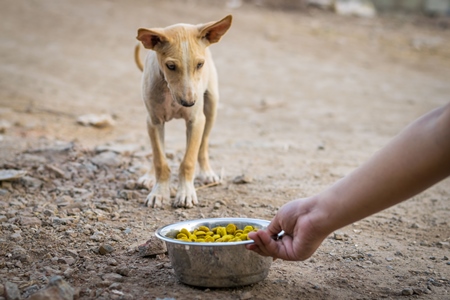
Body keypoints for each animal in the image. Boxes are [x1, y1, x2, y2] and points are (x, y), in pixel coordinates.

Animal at [134, 15, 232, 207]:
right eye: (171, 66)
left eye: (200, 64)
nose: (189, 103)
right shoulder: (154, 121)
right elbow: (160, 160)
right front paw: (159, 192)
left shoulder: (196, 121)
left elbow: (188, 160)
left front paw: (185, 193)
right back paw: (149, 176)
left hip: (211, 107)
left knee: (203, 146)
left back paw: (207, 173)